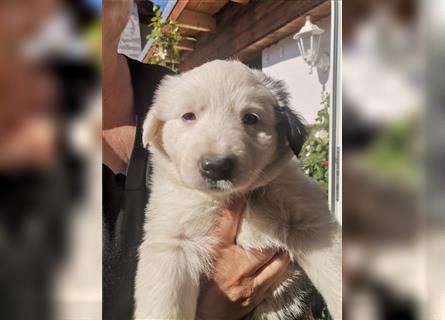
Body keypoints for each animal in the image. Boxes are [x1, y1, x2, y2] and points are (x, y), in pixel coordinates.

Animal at [134, 60, 340, 320]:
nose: (216, 167)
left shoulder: (311, 221)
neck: (227, 197)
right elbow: (165, 304)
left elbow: (334, 270)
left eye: (251, 118)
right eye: (188, 116)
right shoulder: (173, 243)